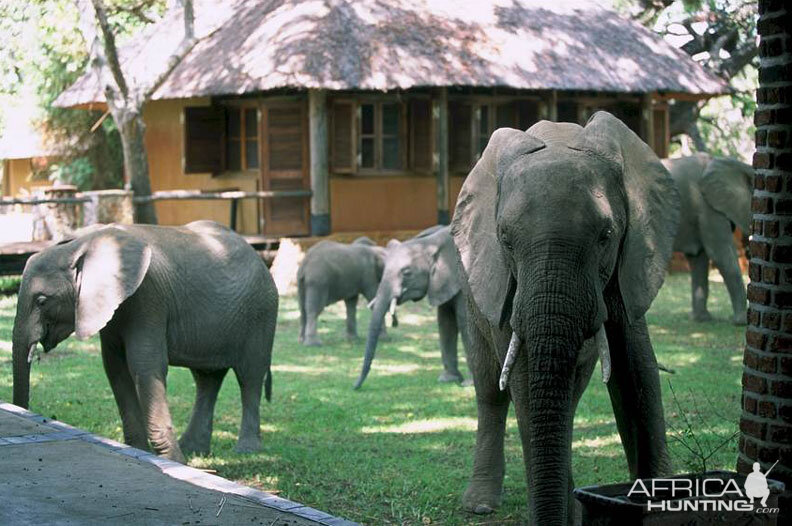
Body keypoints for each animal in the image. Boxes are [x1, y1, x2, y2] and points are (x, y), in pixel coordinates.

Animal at [11, 223, 278, 466]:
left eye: (42, 300)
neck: (83, 243)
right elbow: (115, 370)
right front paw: (140, 452)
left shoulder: (147, 299)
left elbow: (145, 366)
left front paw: (174, 462)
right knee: (207, 380)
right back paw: (193, 449)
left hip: (261, 313)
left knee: (250, 377)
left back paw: (245, 450)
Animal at [354, 227, 470, 392]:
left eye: (407, 273)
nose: (354, 386)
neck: (431, 242)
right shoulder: (442, 283)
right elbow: (445, 322)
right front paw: (448, 379)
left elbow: (465, 322)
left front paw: (468, 384)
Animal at [452, 113, 680, 524]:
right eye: (505, 239)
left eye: (606, 235)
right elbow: (524, 380)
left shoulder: (630, 261)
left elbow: (636, 372)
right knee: (489, 387)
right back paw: (479, 504)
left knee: (570, 395)